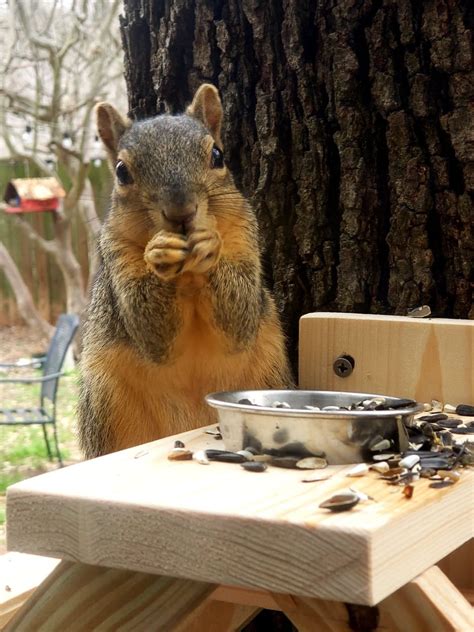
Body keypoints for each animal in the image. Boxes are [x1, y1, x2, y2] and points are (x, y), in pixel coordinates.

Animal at [78, 85, 292, 460]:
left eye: (218, 155)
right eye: (121, 171)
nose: (181, 212)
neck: (189, 277)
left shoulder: (246, 235)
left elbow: (240, 319)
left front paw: (209, 245)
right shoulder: (115, 254)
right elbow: (152, 335)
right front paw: (159, 254)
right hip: (106, 407)